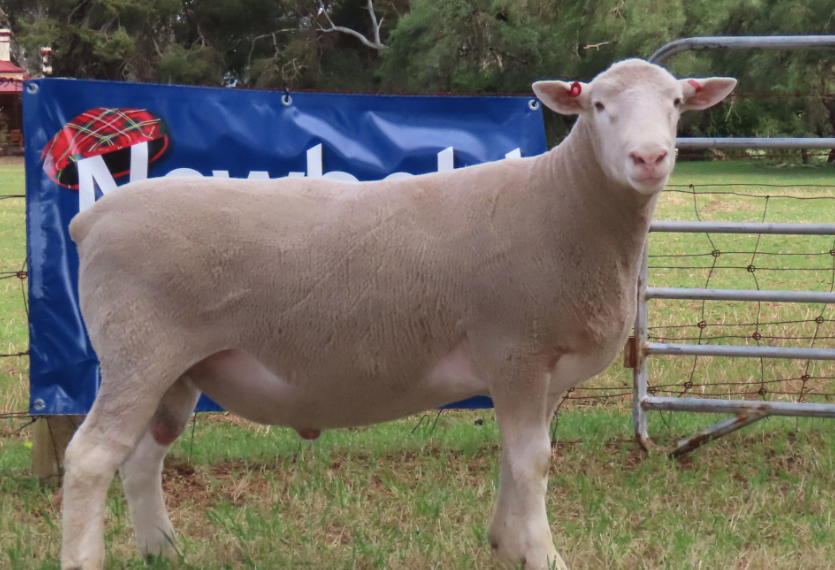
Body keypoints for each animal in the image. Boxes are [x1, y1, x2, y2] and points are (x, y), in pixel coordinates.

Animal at [60, 58, 740, 568]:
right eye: (598, 105)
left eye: (677, 102)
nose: (649, 158)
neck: (564, 201)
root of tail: (91, 218)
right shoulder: (516, 350)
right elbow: (533, 462)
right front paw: (544, 557)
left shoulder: (539, 369)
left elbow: (518, 458)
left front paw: (506, 545)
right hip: (138, 351)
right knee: (90, 458)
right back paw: (87, 558)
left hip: (177, 369)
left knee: (144, 456)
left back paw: (162, 551)